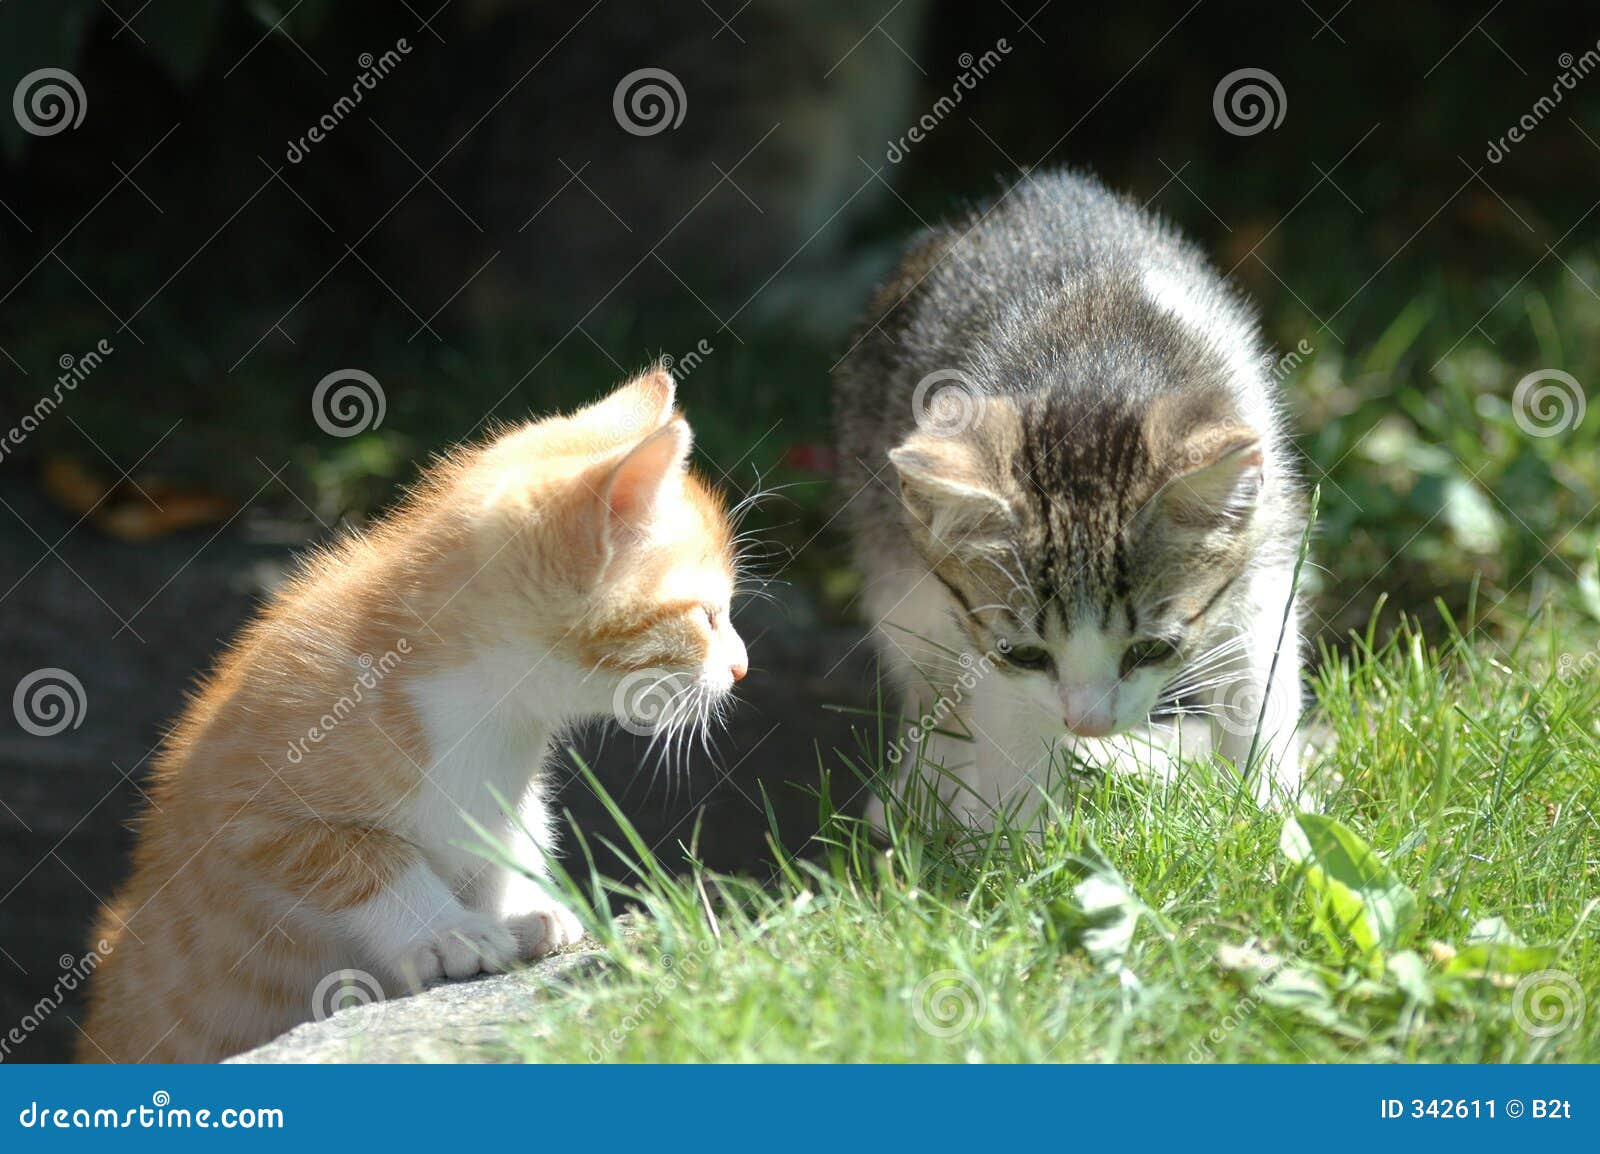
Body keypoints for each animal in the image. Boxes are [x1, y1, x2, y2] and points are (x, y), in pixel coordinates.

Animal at [78, 371, 745, 1062]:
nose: (741, 668)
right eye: (708, 617)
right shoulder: (245, 812)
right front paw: (448, 931)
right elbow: (361, 856)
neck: (493, 706)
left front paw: (515, 907)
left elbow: (502, 837)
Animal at [832, 166, 1305, 825]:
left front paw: (1271, 816)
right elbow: (1007, 735)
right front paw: (1017, 841)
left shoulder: (1265, 559)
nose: (1089, 724)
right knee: (929, 680)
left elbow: (1258, 681)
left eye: (1151, 649)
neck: (1098, 362)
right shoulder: (985, 645)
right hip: (897, 575)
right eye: (1027, 654)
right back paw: (923, 798)